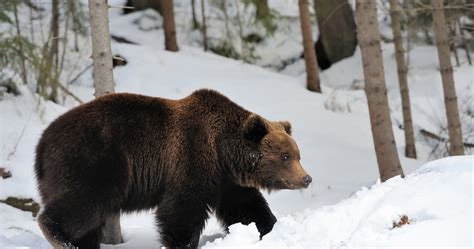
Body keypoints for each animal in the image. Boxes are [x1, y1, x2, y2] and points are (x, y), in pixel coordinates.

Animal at [35, 89, 312, 249]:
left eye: (298, 155)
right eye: (286, 156)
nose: (306, 178)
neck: (222, 150)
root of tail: (42, 142)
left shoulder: (226, 180)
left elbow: (246, 208)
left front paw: (267, 229)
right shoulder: (191, 158)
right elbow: (182, 209)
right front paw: (182, 243)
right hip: (95, 160)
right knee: (84, 203)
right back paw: (59, 235)